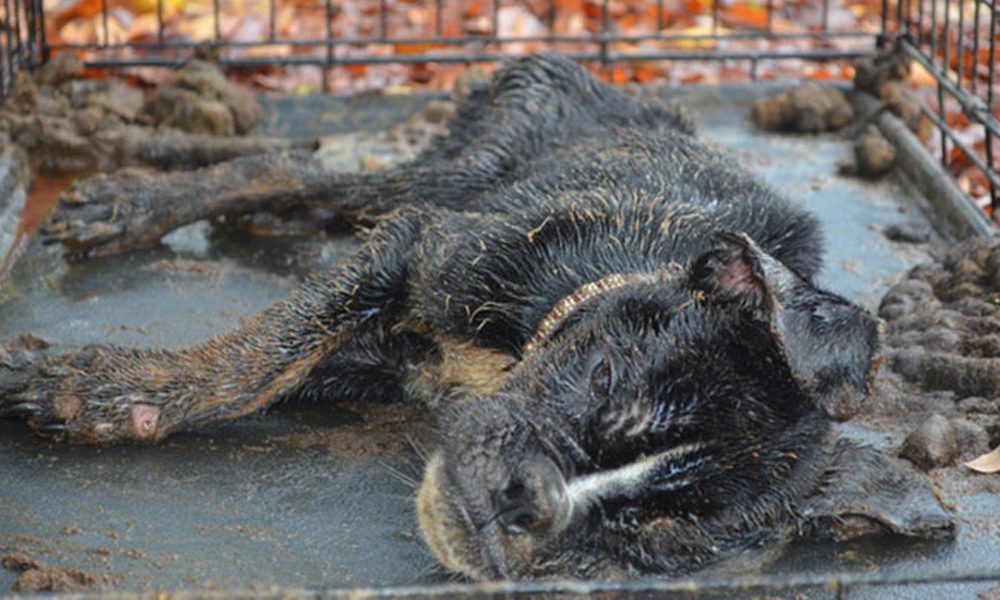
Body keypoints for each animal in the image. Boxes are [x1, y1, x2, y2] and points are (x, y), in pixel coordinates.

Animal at [0, 54, 952, 580]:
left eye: (659, 533)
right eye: (602, 376)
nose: (521, 503)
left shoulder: (388, 358)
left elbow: (288, 362)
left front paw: (91, 390)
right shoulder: (419, 247)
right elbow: (257, 359)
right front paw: (104, 394)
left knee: (313, 197)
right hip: (460, 170)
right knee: (293, 171)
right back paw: (131, 203)